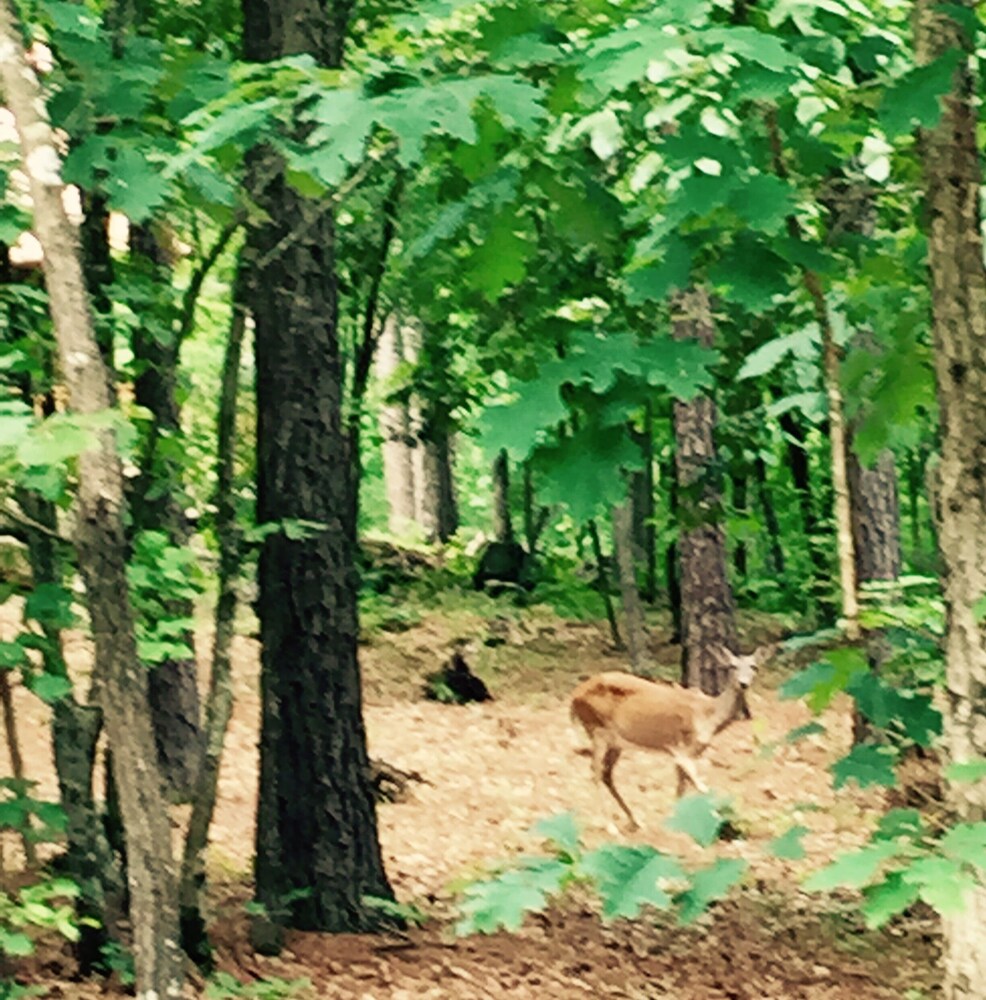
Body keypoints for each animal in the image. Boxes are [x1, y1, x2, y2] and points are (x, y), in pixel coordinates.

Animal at [564, 644, 772, 832]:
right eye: (732, 666)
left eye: (754, 666)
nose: (743, 683)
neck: (708, 716)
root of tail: (574, 696)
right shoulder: (680, 748)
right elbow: (699, 786)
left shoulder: (685, 752)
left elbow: (682, 786)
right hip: (597, 729)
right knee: (596, 772)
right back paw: (610, 826)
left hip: (615, 741)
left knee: (607, 774)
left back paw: (635, 821)